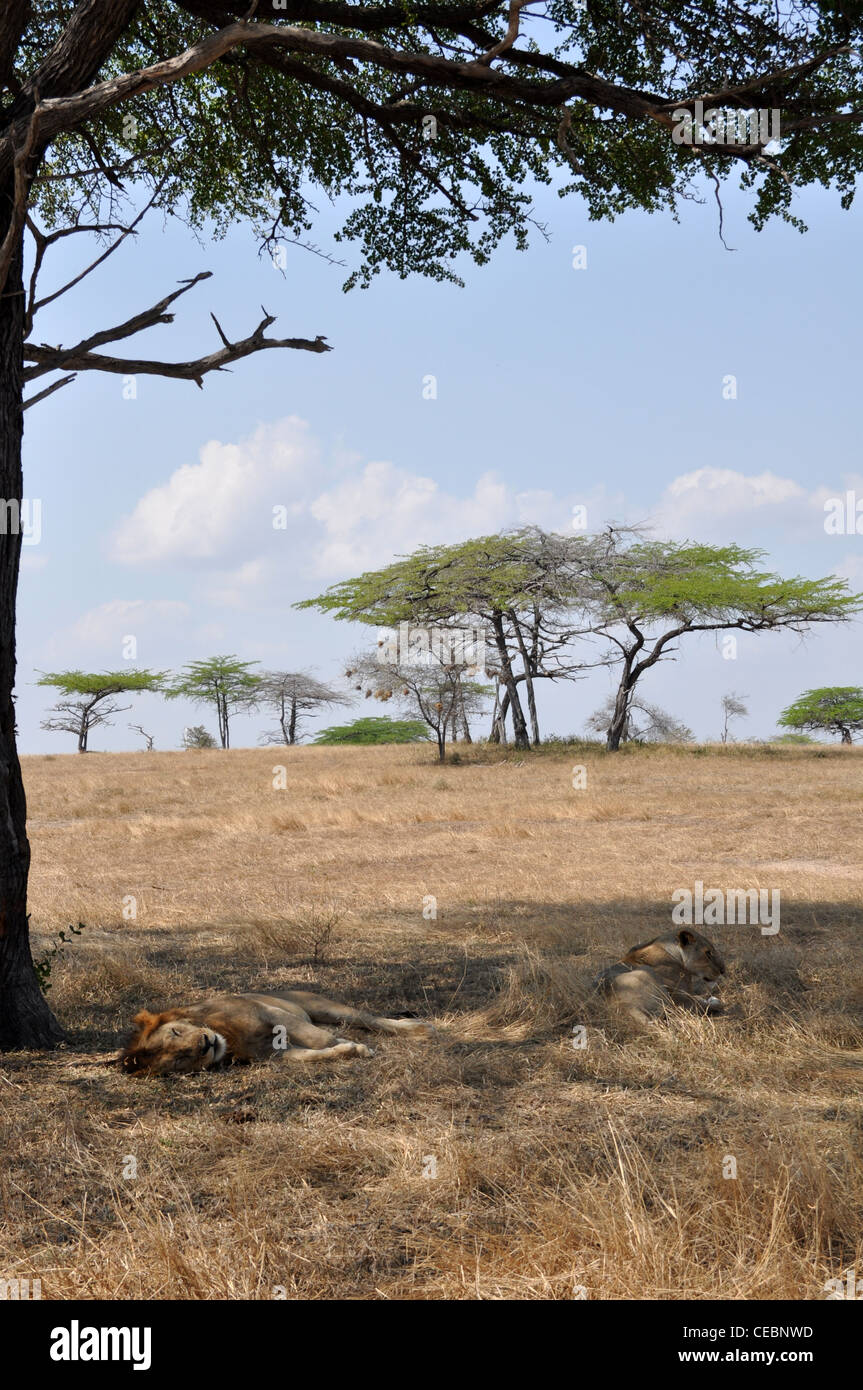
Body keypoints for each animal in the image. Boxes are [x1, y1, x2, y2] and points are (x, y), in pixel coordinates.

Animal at [118, 989, 433, 1073]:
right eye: (178, 1060)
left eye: (174, 1033)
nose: (205, 1045)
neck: (228, 1038)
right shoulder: (276, 1054)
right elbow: (317, 1054)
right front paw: (349, 1048)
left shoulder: (271, 1013)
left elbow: (320, 1038)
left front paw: (351, 1044)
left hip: (323, 1006)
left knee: (372, 1020)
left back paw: (420, 1028)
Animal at [592, 928, 722, 1028]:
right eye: (708, 953)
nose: (722, 971)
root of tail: (625, 1006)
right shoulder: (679, 993)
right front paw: (711, 999)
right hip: (647, 976)